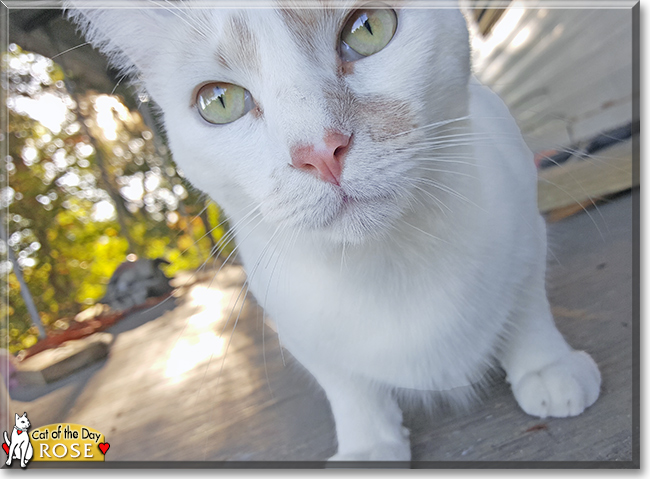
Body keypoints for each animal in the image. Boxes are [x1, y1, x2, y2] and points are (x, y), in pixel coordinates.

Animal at [68, 2, 600, 462]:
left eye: (368, 28)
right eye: (219, 101)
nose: (320, 151)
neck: (388, 262)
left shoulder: (524, 216)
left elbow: (526, 300)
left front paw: (547, 366)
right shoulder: (294, 322)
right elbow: (345, 383)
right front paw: (369, 445)